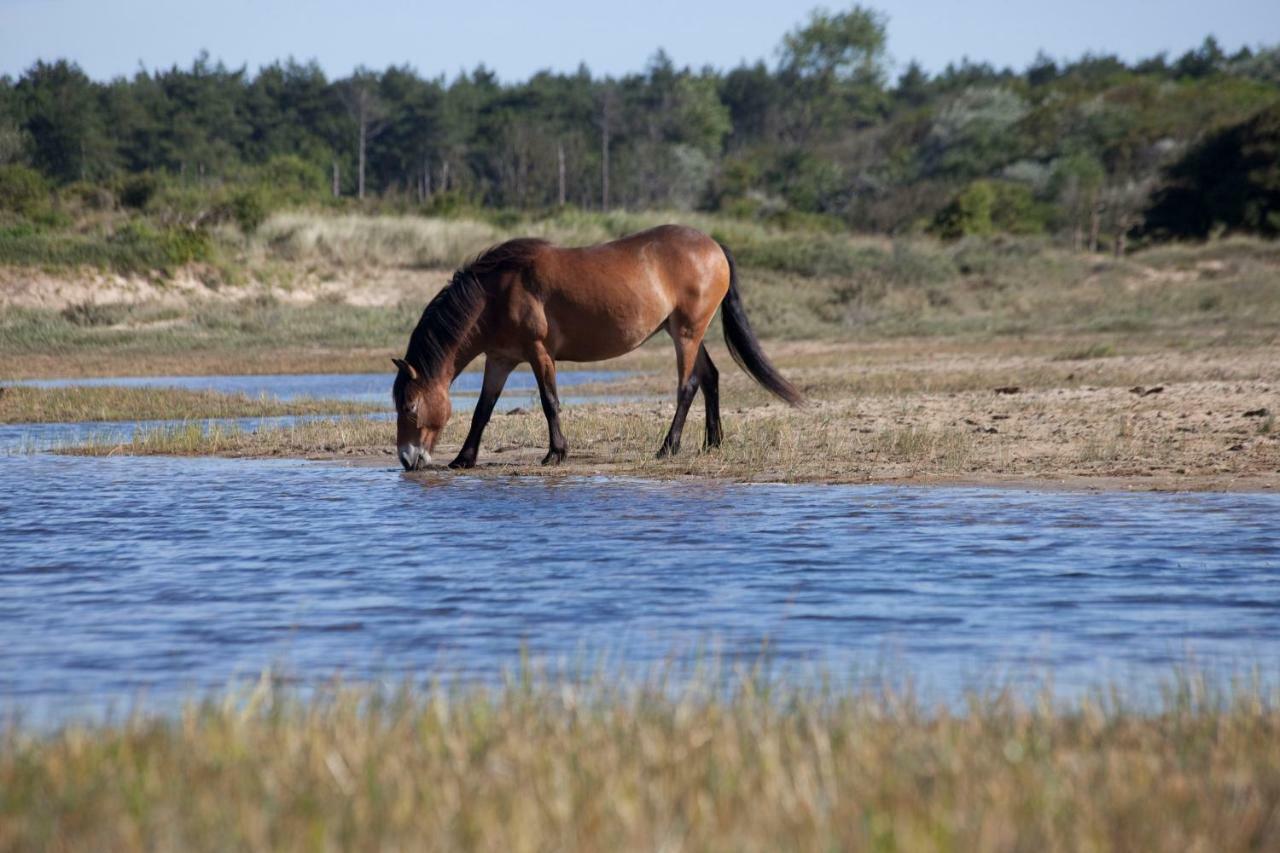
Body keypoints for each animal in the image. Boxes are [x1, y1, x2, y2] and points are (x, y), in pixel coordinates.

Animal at [394, 222, 803, 468]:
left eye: (410, 406)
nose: (406, 459)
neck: (497, 293)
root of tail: (713, 244)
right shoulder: (500, 359)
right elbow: (483, 409)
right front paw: (464, 459)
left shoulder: (539, 352)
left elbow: (550, 401)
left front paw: (556, 453)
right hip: (683, 332)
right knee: (711, 377)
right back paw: (712, 442)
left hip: (687, 333)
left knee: (688, 385)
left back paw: (667, 446)